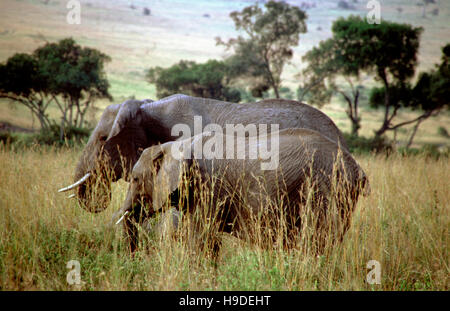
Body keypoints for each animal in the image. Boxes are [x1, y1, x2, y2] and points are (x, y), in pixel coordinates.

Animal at [117, 129, 370, 256]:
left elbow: (201, 238)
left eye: (135, 179)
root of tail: (357, 168)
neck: (176, 145)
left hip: (324, 189)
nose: (135, 257)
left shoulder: (209, 186)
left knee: (317, 242)